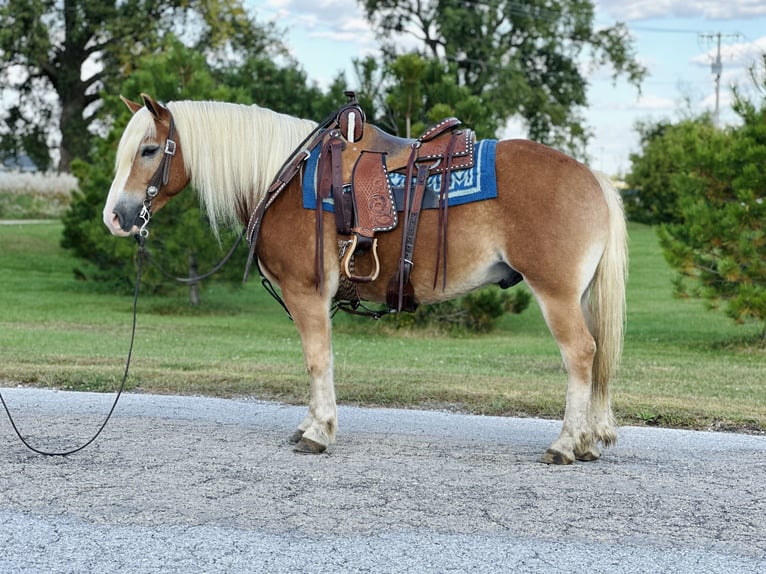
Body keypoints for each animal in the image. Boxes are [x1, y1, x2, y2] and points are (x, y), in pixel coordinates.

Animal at [103, 92, 632, 466]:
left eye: (149, 149)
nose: (116, 217)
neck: (285, 179)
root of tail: (593, 177)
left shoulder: (307, 293)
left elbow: (318, 360)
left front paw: (319, 432)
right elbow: (314, 363)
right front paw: (309, 424)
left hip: (556, 294)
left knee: (580, 355)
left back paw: (566, 443)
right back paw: (588, 441)